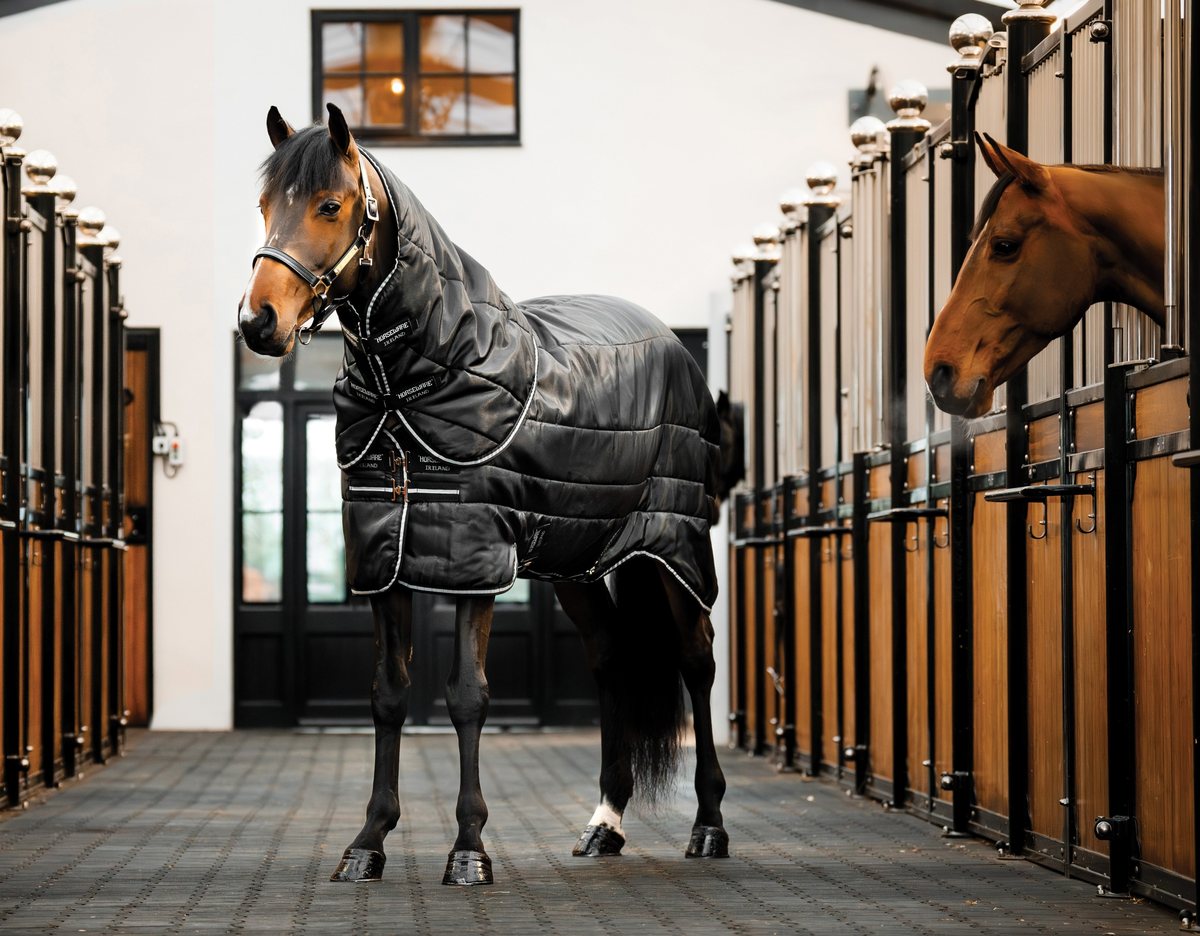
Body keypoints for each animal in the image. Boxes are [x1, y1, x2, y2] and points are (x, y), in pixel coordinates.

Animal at [237, 104, 733, 886]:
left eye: (330, 205)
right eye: (263, 205)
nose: (259, 322)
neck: (418, 380)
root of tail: (675, 345)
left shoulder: (472, 559)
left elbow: (468, 695)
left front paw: (468, 849)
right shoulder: (385, 560)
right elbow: (387, 694)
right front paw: (368, 842)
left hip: (672, 545)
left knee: (696, 657)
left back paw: (709, 824)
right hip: (575, 559)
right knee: (611, 655)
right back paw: (605, 823)